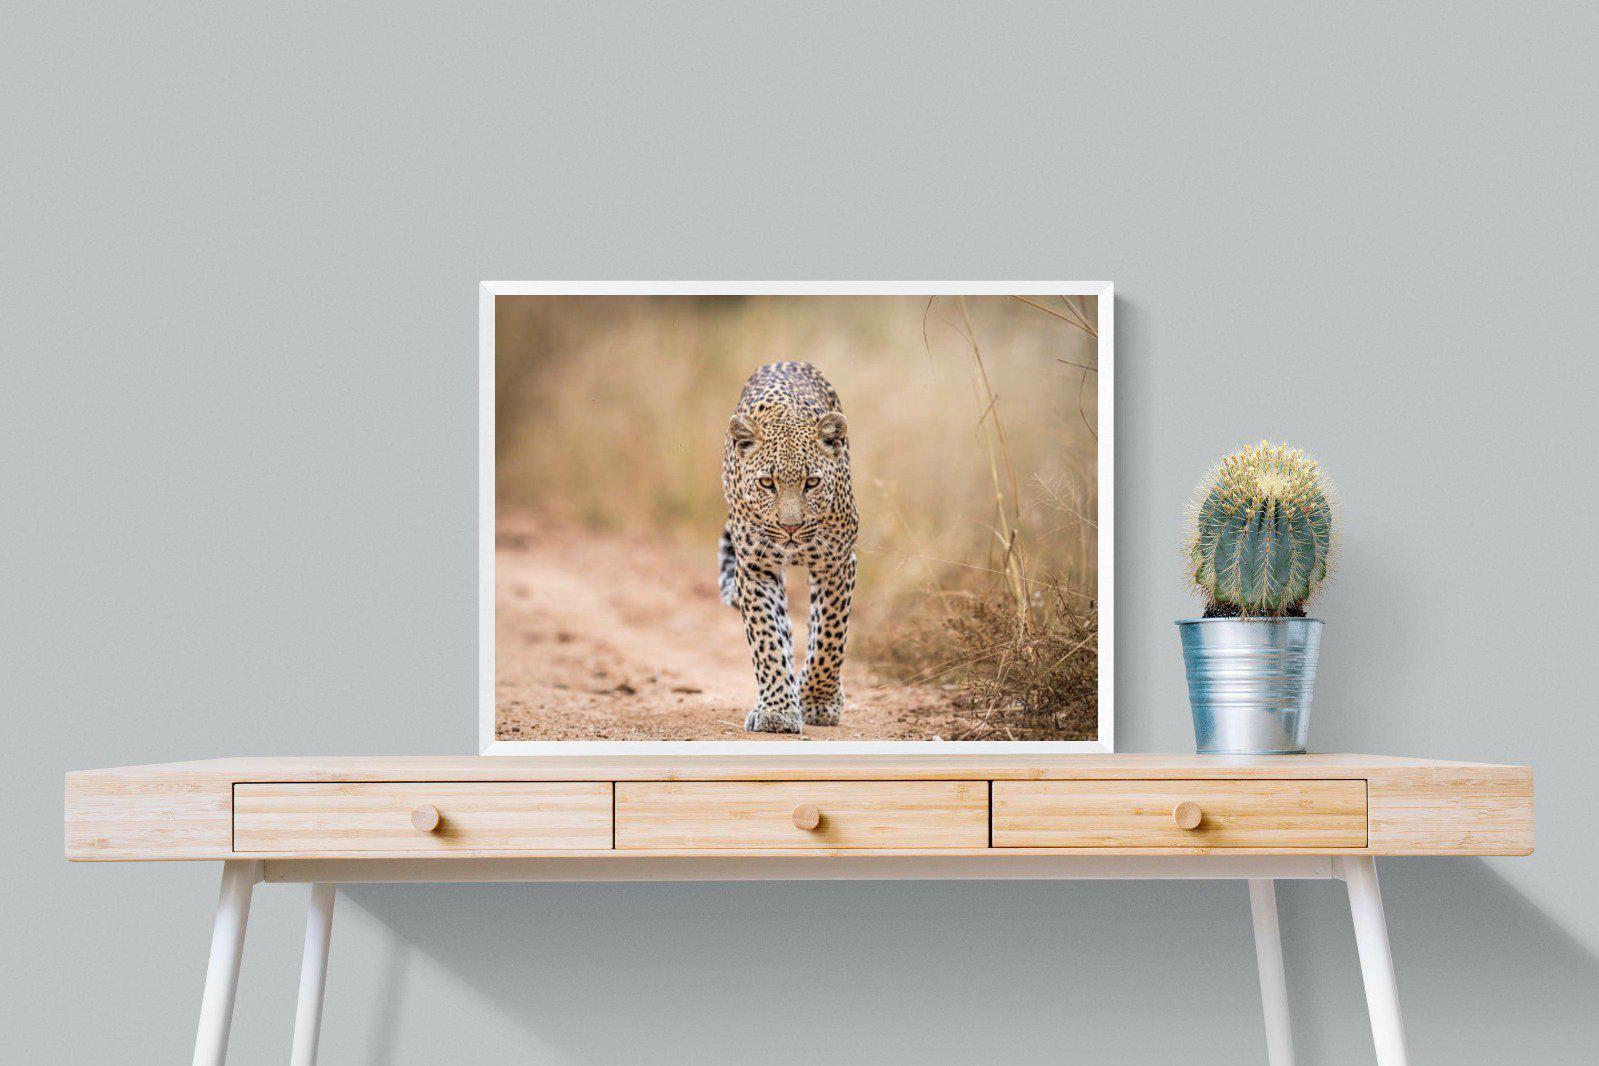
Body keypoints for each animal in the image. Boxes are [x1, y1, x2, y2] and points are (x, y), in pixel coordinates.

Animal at [718, 361, 859, 734]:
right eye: (768, 483)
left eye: (812, 482)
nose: (790, 527)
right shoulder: (755, 567)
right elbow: (766, 638)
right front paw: (777, 710)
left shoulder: (837, 562)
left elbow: (829, 636)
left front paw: (819, 702)